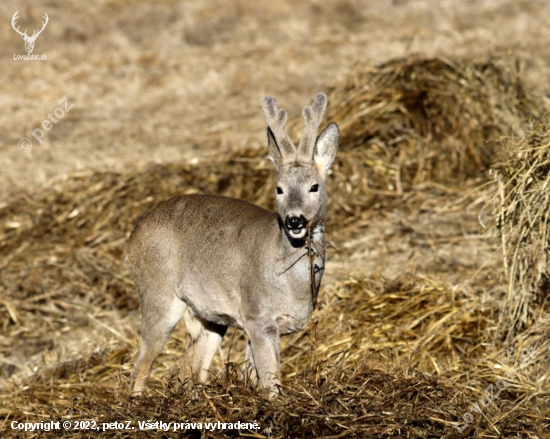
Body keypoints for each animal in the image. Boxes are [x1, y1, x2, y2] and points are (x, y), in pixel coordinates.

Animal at [129, 92, 338, 396]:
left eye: (314, 186)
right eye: (279, 189)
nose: (294, 220)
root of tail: (133, 237)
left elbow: (254, 375)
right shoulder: (257, 315)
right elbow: (271, 382)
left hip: (209, 316)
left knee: (189, 367)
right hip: (158, 292)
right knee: (140, 366)